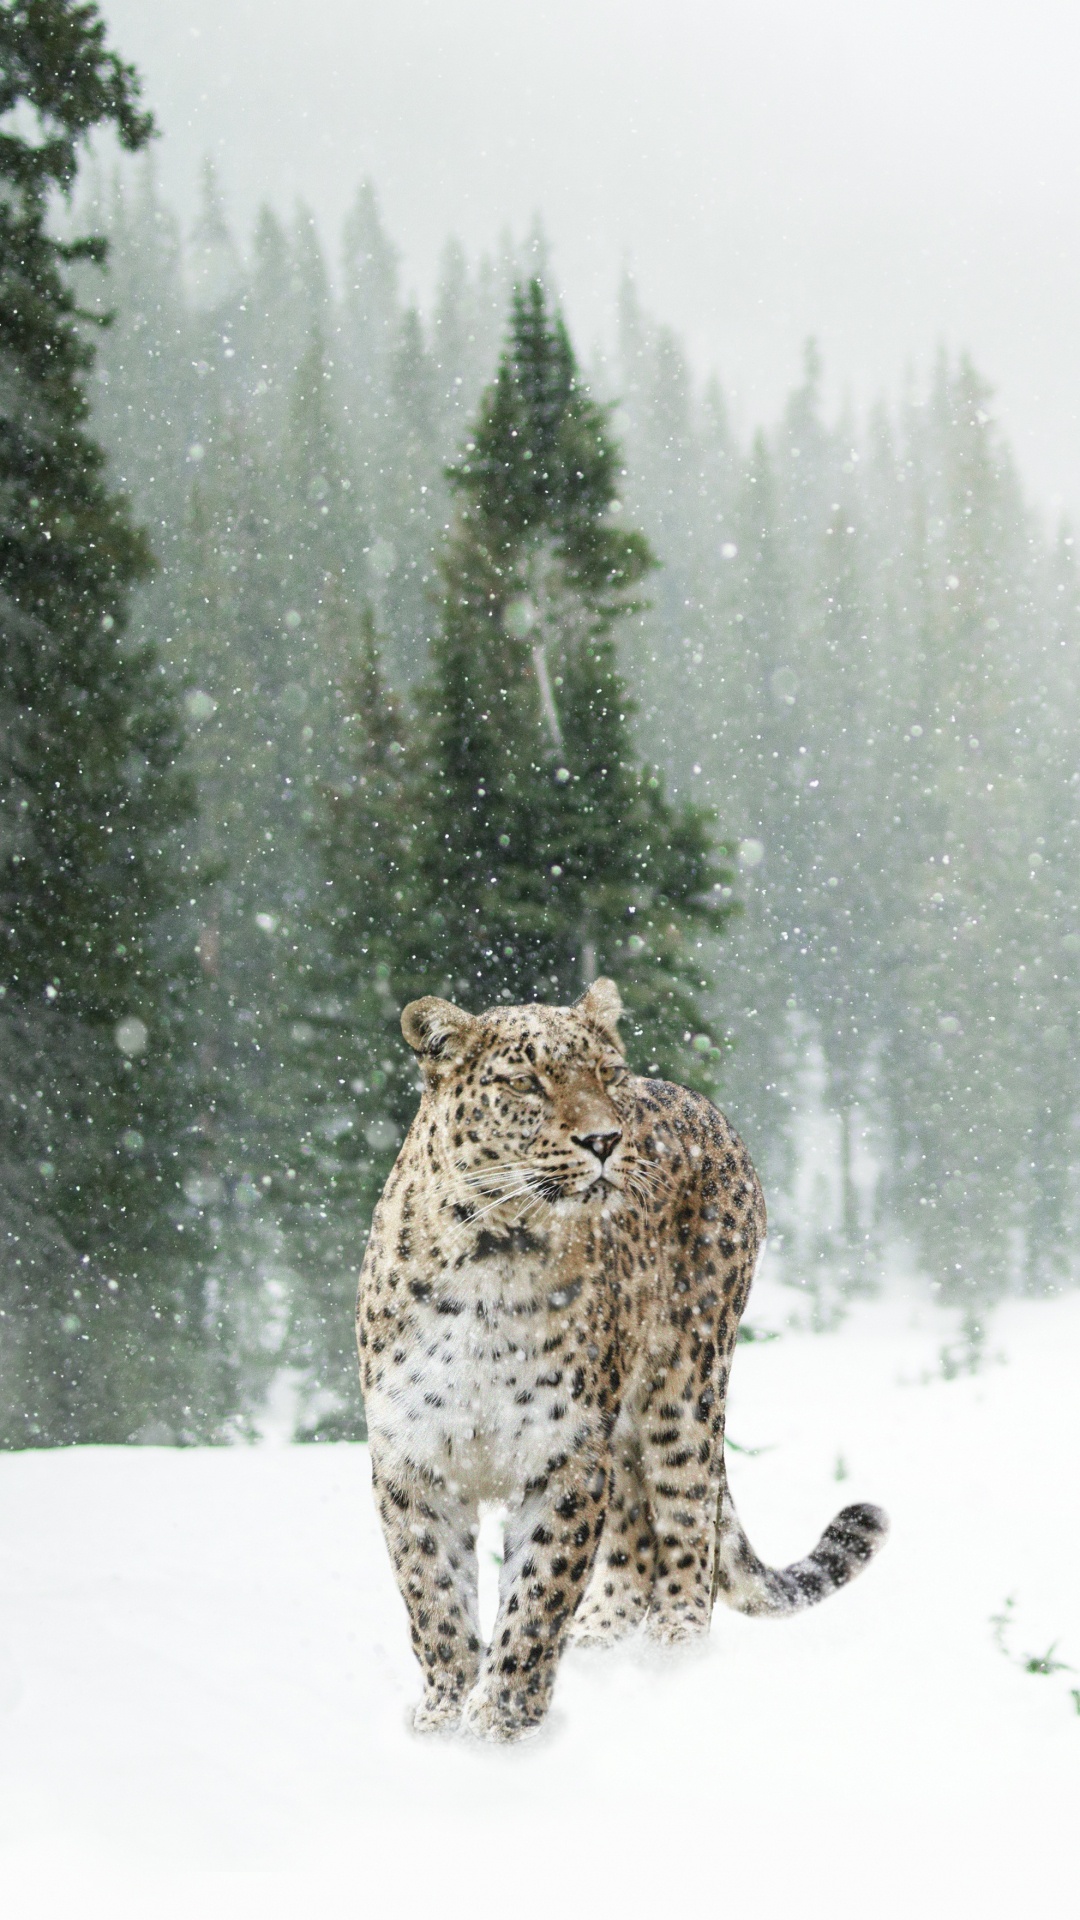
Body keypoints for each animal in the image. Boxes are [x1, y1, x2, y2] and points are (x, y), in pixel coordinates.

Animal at [356, 977, 888, 1742]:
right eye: (526, 1082)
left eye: (606, 1075)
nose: (605, 1139)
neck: (494, 1257)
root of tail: (701, 1102)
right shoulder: (414, 1457)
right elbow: (435, 1598)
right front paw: (443, 1718)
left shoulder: (566, 1454)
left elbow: (538, 1595)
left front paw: (501, 1725)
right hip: (630, 1427)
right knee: (636, 1530)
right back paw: (602, 1644)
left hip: (685, 1386)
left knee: (688, 1522)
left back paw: (670, 1658)